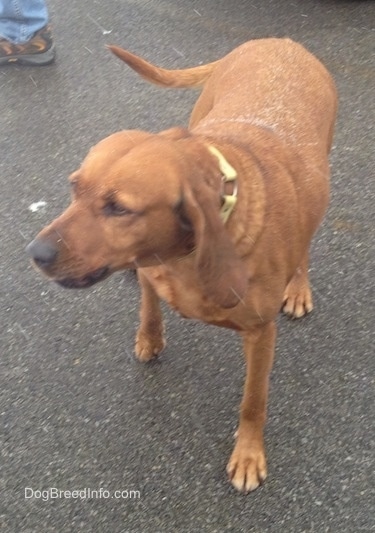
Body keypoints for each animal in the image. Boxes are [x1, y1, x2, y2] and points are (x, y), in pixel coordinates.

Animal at [25, 39, 338, 492]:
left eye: (119, 208)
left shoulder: (261, 335)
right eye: (74, 187)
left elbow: (253, 402)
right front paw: (150, 338)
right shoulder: (150, 270)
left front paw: (248, 454)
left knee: (307, 243)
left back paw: (298, 286)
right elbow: (149, 305)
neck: (184, 259)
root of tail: (279, 41)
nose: (36, 253)